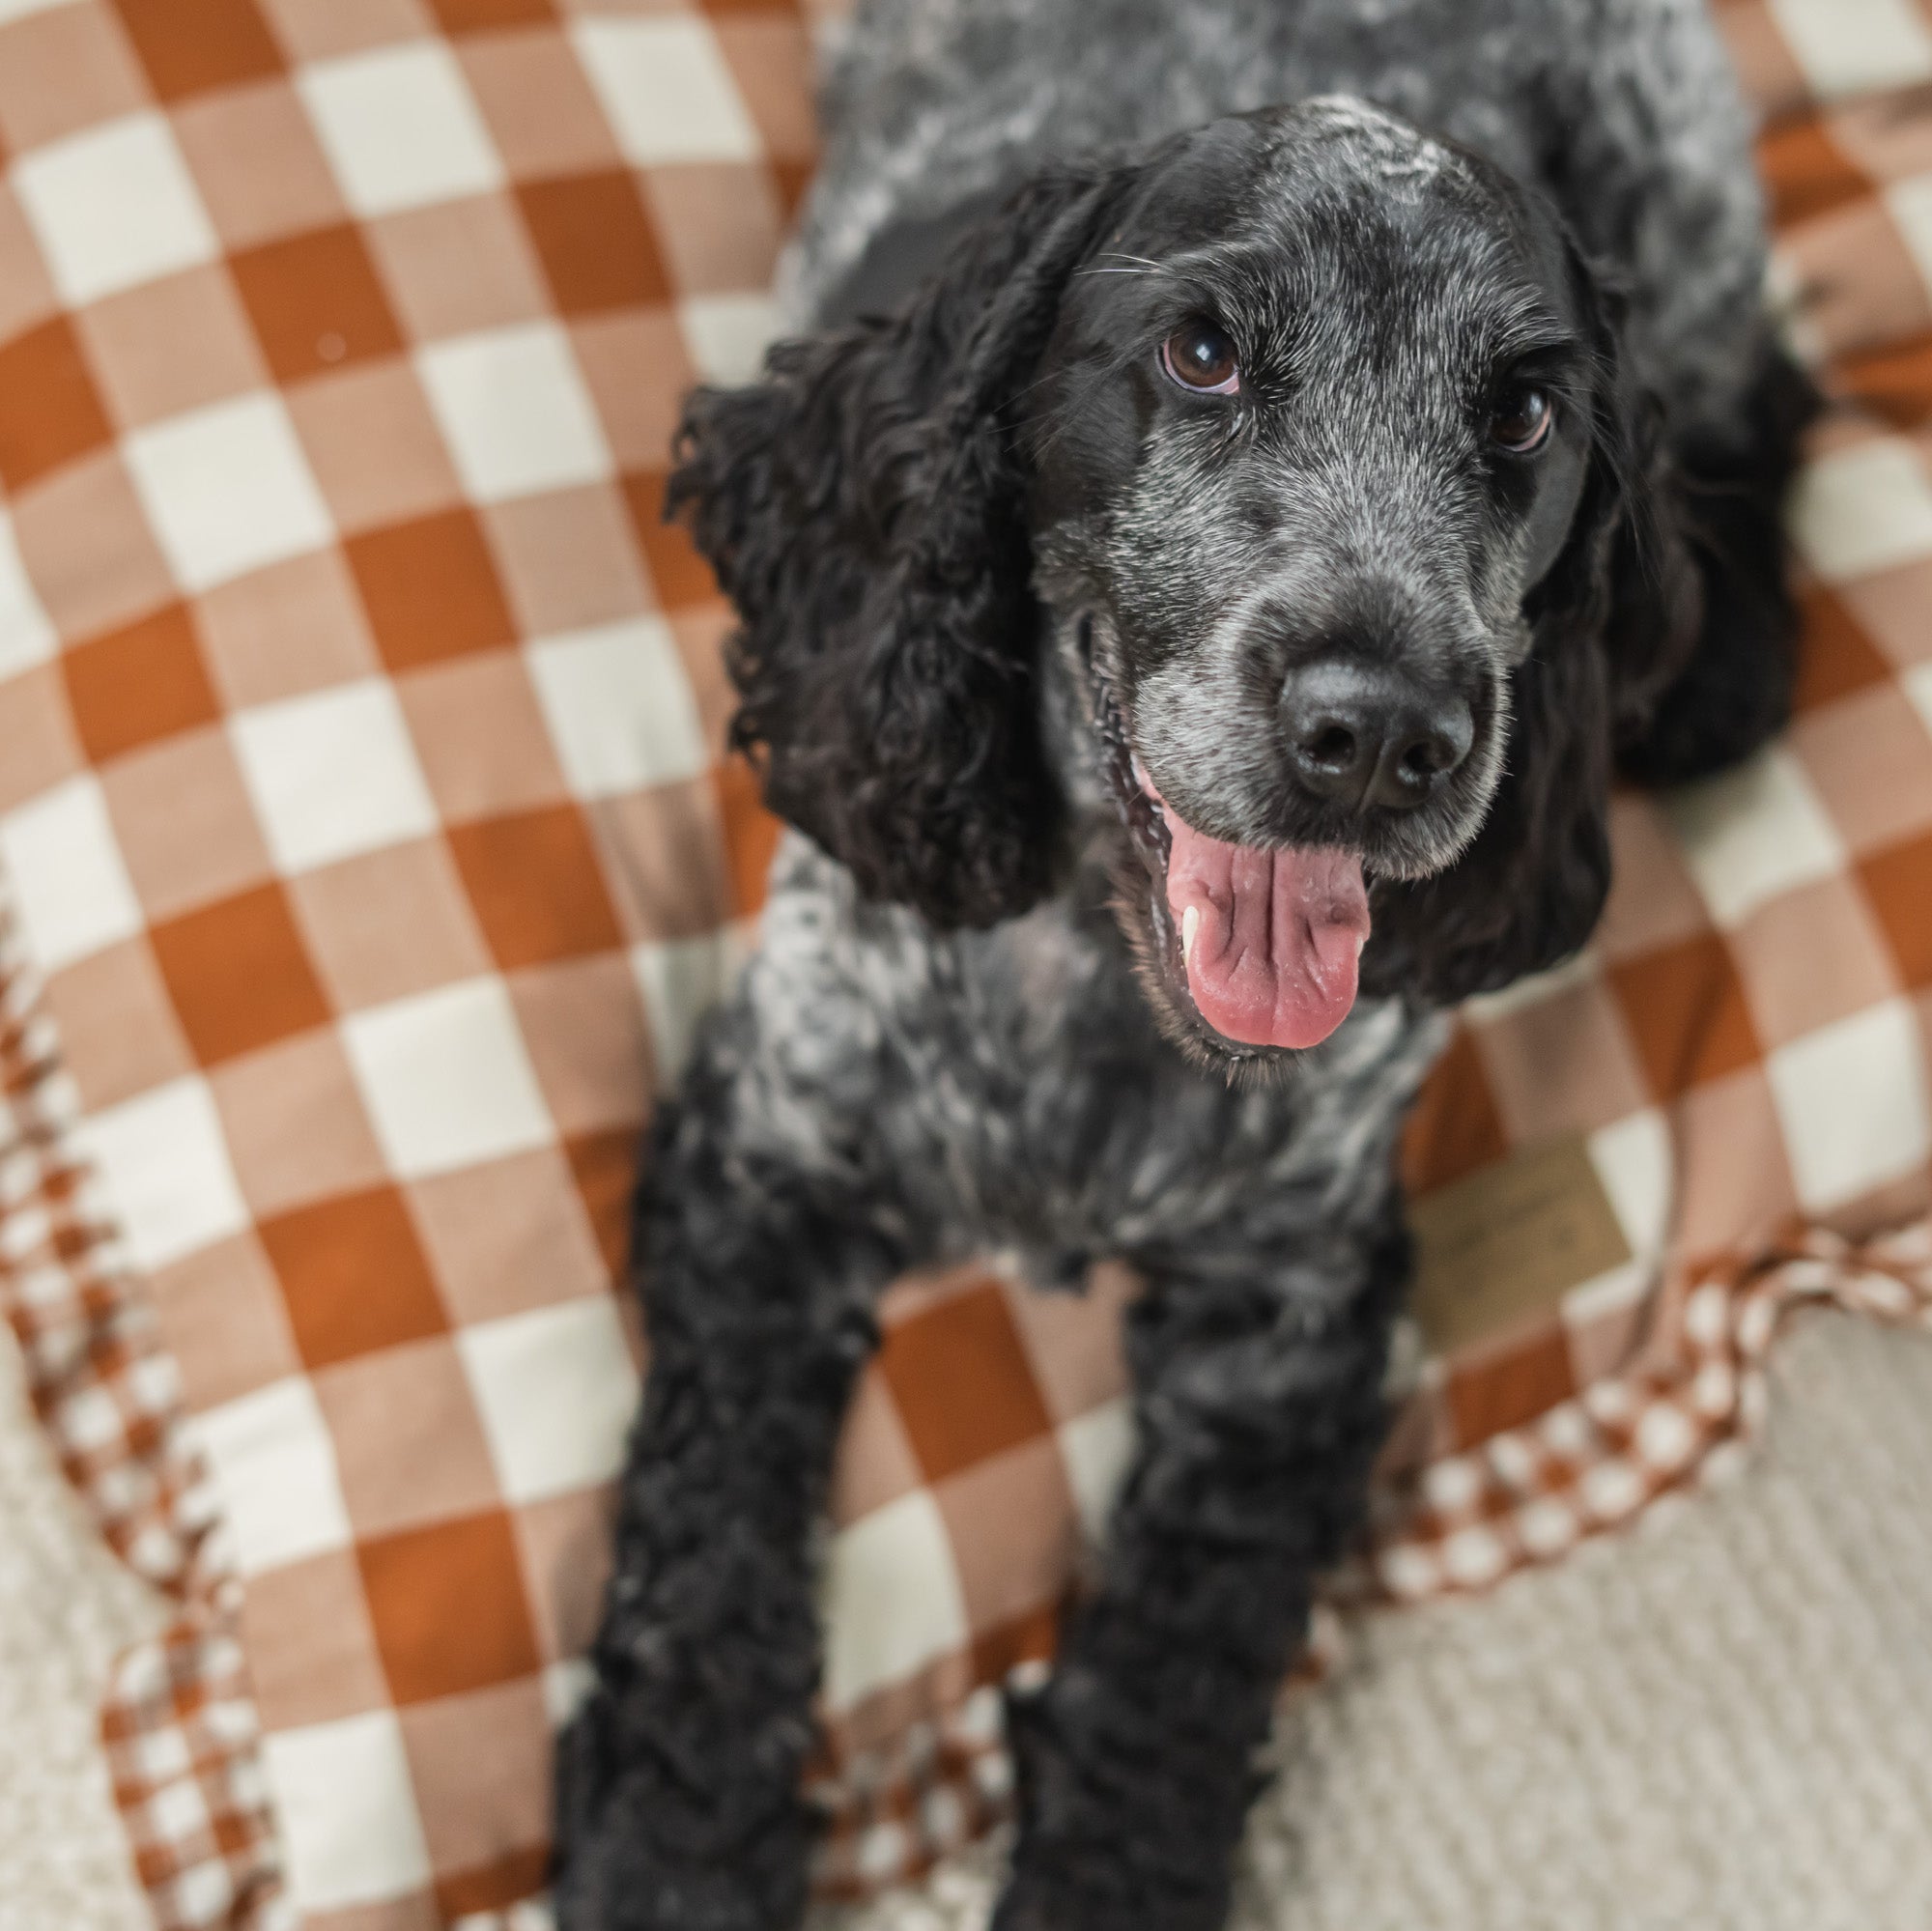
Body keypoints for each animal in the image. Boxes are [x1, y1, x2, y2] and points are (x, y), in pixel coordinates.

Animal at [556, 0, 1808, 1923]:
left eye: (1523, 409)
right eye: (1202, 351)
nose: (1381, 733)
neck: (1098, 990)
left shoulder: (1281, 1315)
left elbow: (1169, 1673)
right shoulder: (769, 1151)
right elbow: (704, 1572)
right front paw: (669, 1859)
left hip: (1681, 174)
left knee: (1771, 382)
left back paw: (1731, 658)